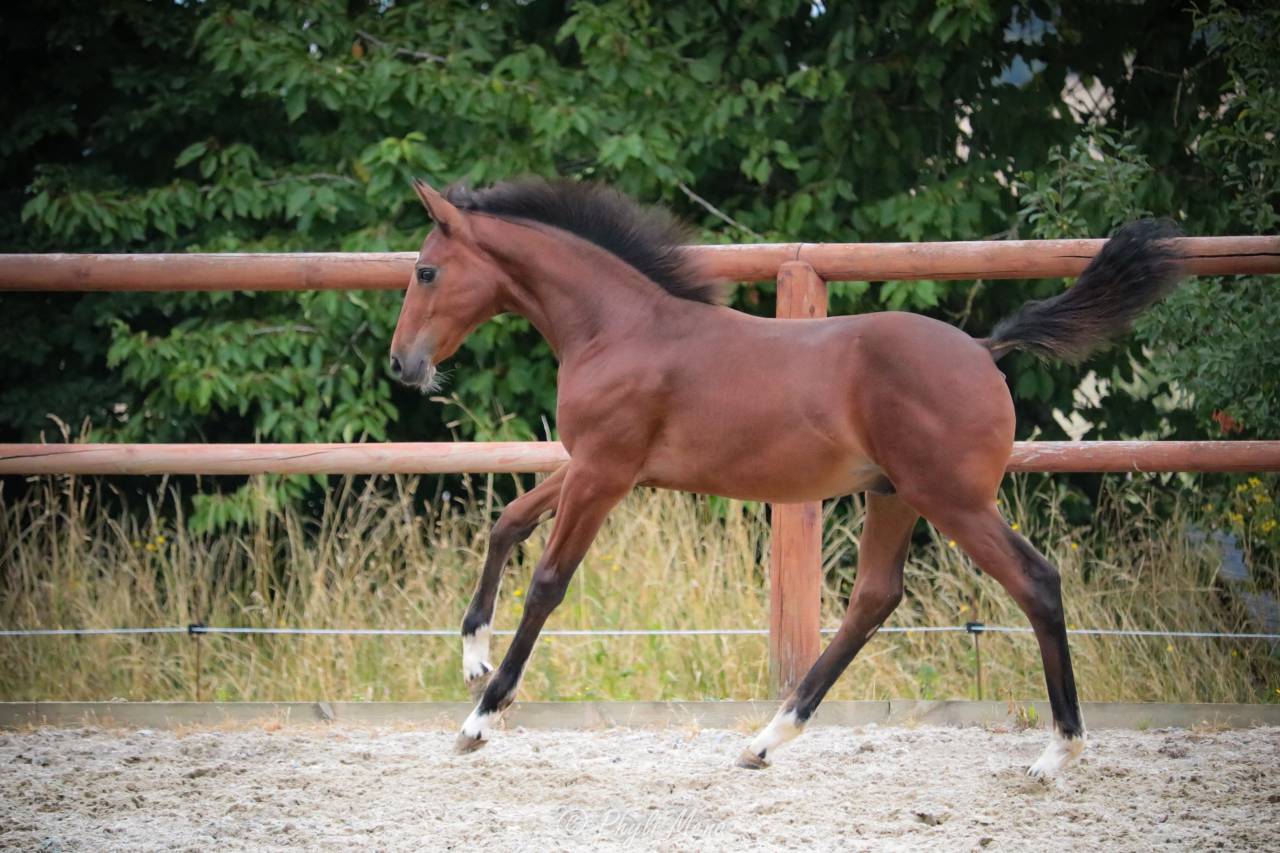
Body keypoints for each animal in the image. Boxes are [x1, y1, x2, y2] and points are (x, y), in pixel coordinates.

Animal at [388, 176, 1183, 776]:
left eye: (426, 270)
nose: (403, 364)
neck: (619, 328)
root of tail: (986, 350)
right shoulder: (597, 465)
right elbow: (509, 521)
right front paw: (471, 656)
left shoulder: (604, 472)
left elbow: (548, 583)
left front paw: (482, 715)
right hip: (895, 496)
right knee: (874, 597)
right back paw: (768, 738)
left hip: (952, 500)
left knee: (1035, 581)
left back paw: (1059, 751)